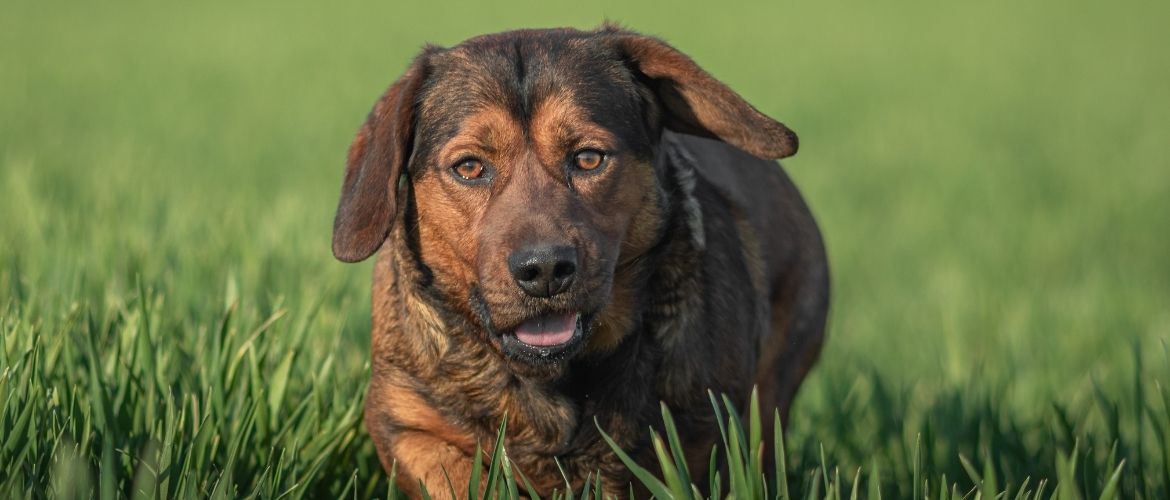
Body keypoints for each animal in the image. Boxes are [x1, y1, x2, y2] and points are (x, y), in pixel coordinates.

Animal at [332, 25, 833, 498]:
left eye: (589, 158)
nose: (544, 270)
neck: (552, 378)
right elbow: (453, 473)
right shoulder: (404, 423)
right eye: (470, 167)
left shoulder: (709, 435)